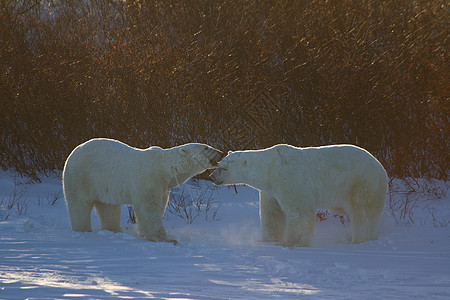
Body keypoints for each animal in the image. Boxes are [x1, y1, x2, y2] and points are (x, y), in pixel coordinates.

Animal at [61, 137, 223, 243]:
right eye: (206, 147)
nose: (221, 152)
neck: (165, 168)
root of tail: (72, 153)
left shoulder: (163, 187)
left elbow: (160, 206)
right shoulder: (149, 180)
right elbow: (149, 208)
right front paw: (166, 239)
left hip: (103, 184)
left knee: (108, 207)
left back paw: (114, 230)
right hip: (82, 176)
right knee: (79, 204)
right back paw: (83, 229)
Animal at [209, 144, 388, 247]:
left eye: (224, 168)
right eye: (219, 164)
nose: (211, 177)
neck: (270, 169)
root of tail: (381, 168)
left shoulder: (290, 180)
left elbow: (299, 212)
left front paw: (291, 242)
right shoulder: (270, 191)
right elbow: (272, 214)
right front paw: (267, 240)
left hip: (361, 183)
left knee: (362, 213)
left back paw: (358, 239)